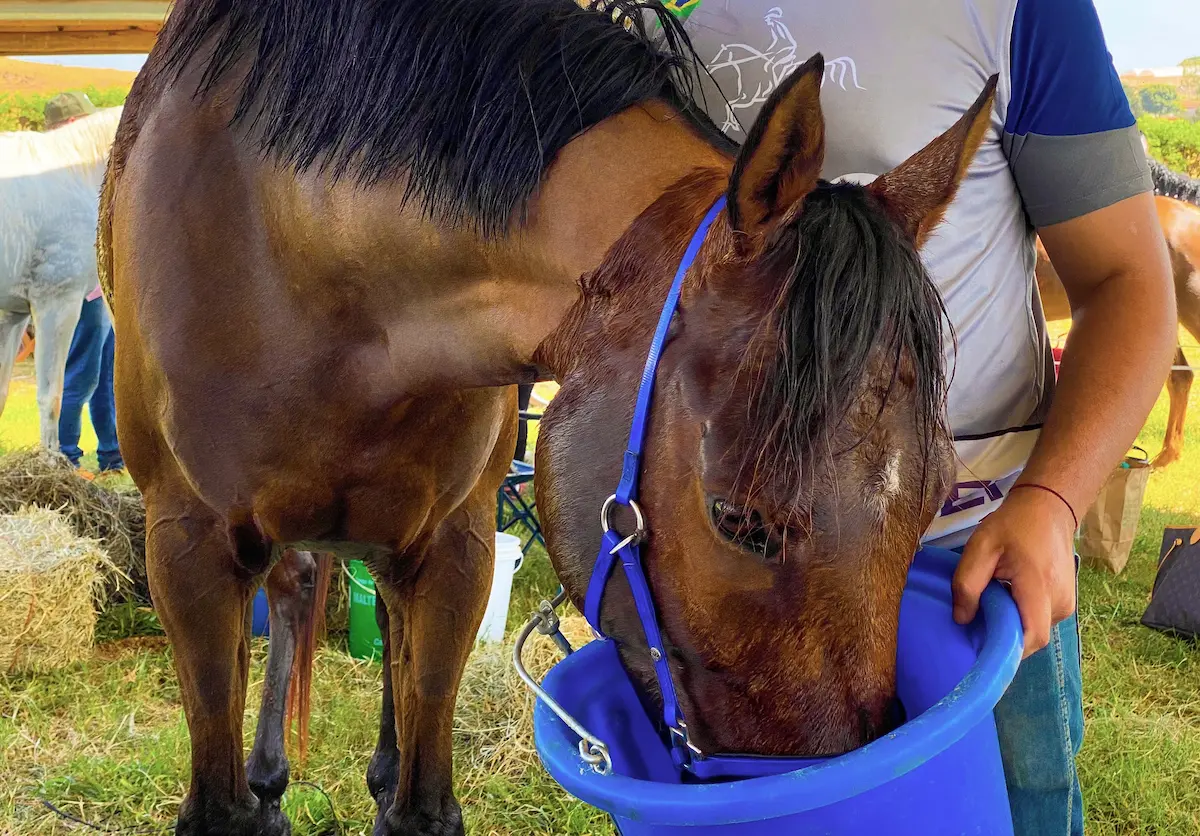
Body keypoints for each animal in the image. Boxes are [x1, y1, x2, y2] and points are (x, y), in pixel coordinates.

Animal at [93, 3, 993, 830]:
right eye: (739, 521)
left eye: (938, 493)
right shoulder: (187, 548)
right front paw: (254, 791)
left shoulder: (454, 545)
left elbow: (420, 788)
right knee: (293, 587)